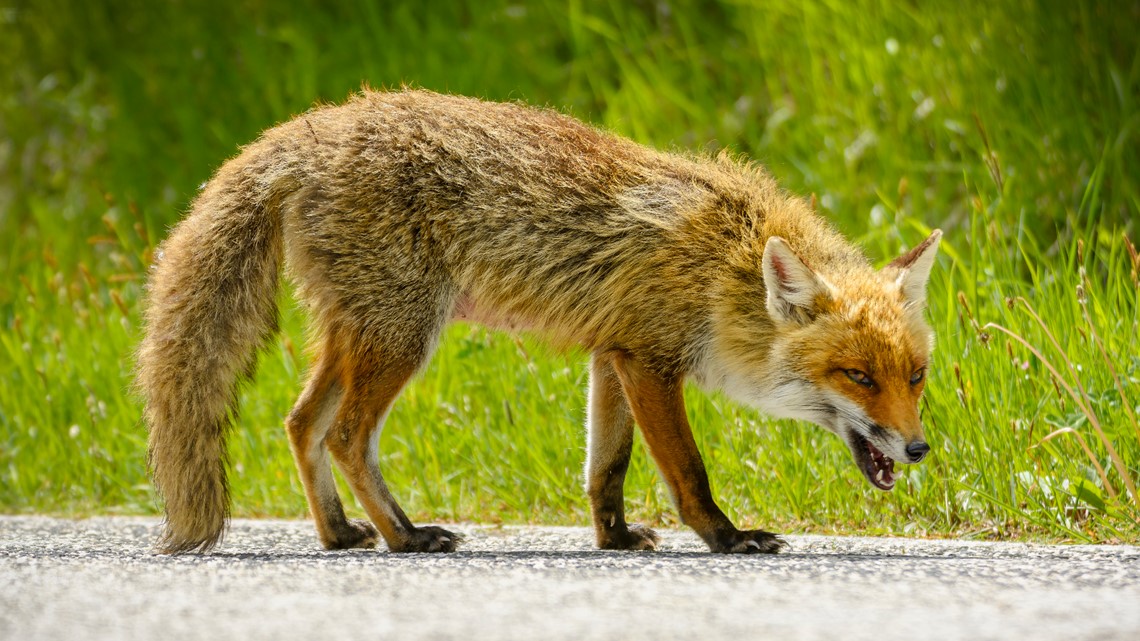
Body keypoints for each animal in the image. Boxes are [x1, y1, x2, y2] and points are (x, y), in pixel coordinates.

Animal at [137, 87, 939, 552]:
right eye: (857, 376)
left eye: (915, 377)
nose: (919, 448)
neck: (724, 266)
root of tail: (313, 128)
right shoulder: (651, 362)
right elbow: (687, 469)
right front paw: (726, 536)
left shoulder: (613, 356)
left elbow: (605, 468)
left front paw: (613, 539)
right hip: (402, 337)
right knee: (345, 435)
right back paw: (404, 536)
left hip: (361, 334)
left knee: (301, 423)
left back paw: (338, 535)